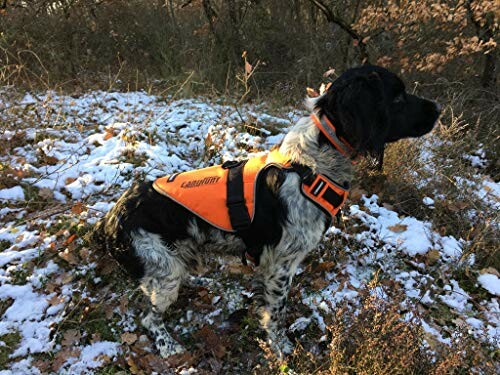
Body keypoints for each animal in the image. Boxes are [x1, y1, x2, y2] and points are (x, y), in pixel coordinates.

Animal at [90, 64, 442, 358]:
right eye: (397, 96)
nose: (438, 109)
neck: (313, 164)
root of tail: (111, 218)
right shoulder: (281, 264)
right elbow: (276, 313)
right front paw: (282, 346)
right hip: (164, 272)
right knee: (149, 317)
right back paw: (166, 345)